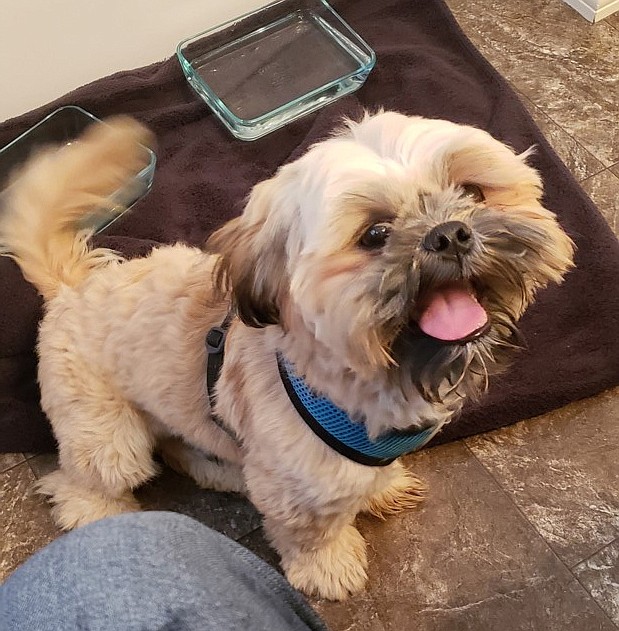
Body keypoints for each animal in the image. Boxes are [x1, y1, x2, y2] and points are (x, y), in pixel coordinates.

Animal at [0, 111, 576, 600]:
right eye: (375, 234)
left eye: (471, 191)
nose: (449, 234)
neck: (367, 371)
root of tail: (73, 284)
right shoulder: (299, 490)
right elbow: (312, 535)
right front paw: (330, 568)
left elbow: (372, 476)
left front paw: (381, 489)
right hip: (106, 436)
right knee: (84, 479)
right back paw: (97, 512)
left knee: (181, 445)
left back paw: (221, 472)